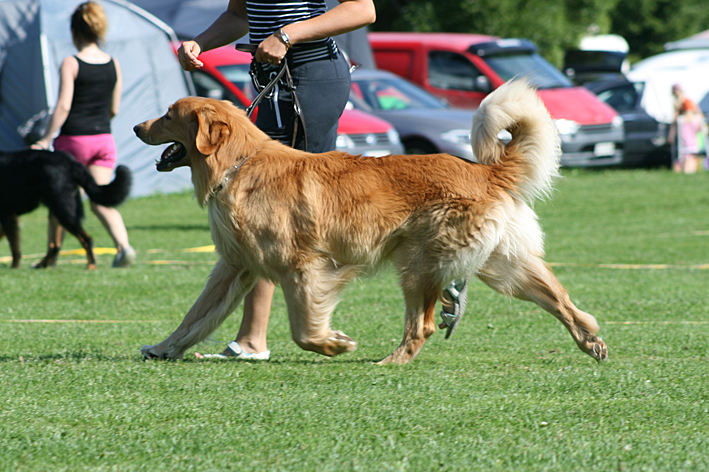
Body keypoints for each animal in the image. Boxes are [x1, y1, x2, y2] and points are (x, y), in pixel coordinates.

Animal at [0, 149, 131, 268]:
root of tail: (70, 162)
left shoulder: (7, 215)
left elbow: (14, 247)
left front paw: (14, 267)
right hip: (57, 210)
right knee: (55, 245)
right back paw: (43, 265)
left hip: (64, 211)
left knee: (86, 240)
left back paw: (90, 265)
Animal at [134, 79, 608, 366]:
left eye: (170, 114)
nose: (137, 126)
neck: (239, 165)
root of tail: (485, 171)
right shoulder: (234, 267)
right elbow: (193, 319)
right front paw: (163, 348)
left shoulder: (301, 267)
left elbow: (303, 327)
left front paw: (332, 344)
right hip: (504, 267)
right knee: (565, 302)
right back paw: (591, 341)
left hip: (417, 265)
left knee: (423, 324)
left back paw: (391, 362)